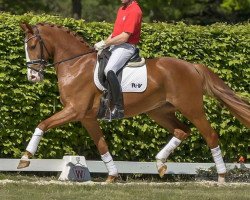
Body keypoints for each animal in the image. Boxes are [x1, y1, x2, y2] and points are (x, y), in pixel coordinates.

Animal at [17, 22, 250, 183]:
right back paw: (160, 164)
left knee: (210, 135)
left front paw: (25, 158)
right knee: (182, 131)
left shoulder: (74, 110)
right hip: (159, 111)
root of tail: (192, 66)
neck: (76, 64)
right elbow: (102, 145)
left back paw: (221, 176)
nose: (33, 77)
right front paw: (112, 176)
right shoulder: (87, 117)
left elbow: (42, 124)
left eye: (33, 45)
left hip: (192, 108)